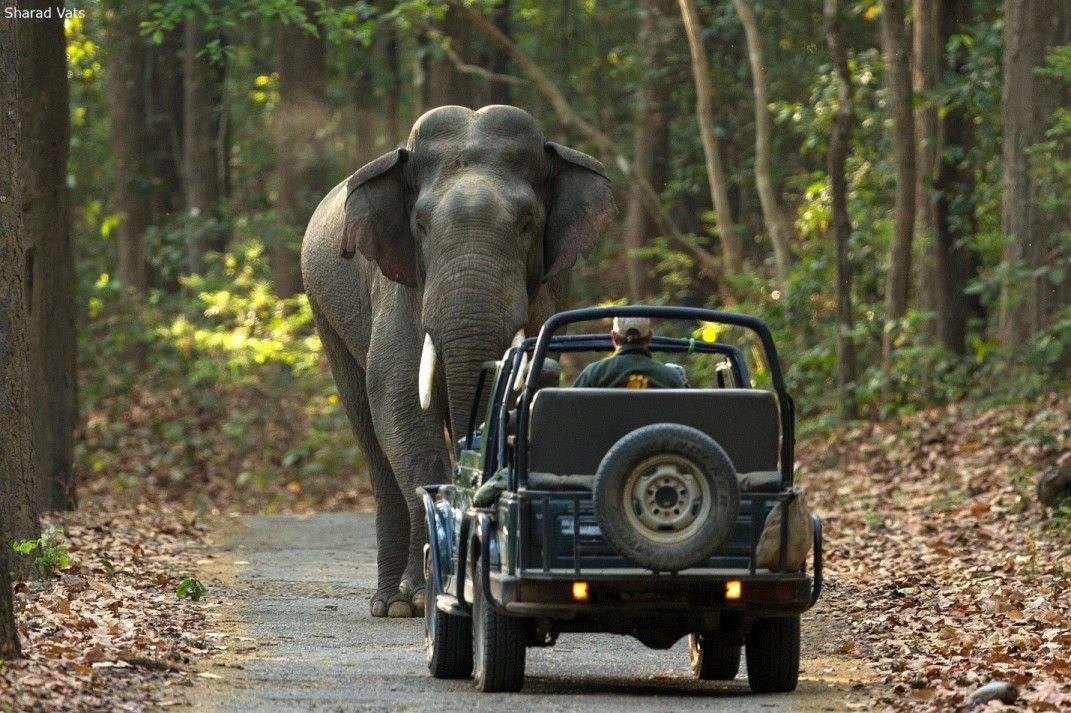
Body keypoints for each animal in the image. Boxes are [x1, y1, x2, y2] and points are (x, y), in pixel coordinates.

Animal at [302, 105, 621, 616]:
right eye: (420, 226)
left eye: (528, 223)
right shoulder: (399, 287)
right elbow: (399, 404)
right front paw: (419, 597)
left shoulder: (547, 292)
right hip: (325, 312)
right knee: (369, 432)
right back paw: (390, 604)